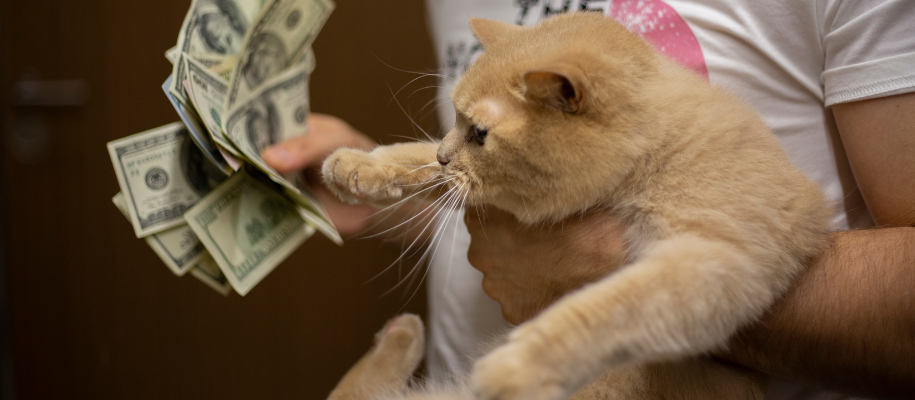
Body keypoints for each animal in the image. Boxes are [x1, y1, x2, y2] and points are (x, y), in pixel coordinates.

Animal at [322, 12, 832, 400]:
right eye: (457, 120)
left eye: (480, 134)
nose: (449, 155)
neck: (651, 150)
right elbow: (417, 158)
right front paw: (358, 165)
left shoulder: (712, 257)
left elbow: (605, 310)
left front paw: (519, 364)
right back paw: (400, 335)